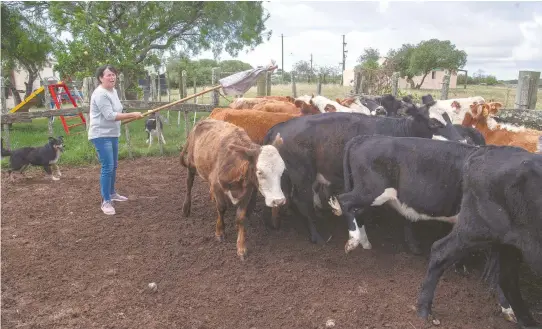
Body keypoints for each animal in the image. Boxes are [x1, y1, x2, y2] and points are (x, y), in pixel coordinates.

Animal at [181, 118, 286, 258]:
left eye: (282, 170)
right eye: (259, 172)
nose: (278, 201)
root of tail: (203, 120)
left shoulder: (247, 190)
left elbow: (240, 217)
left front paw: (241, 247)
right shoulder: (217, 186)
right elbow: (221, 208)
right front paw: (220, 232)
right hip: (191, 164)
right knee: (189, 184)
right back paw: (186, 208)